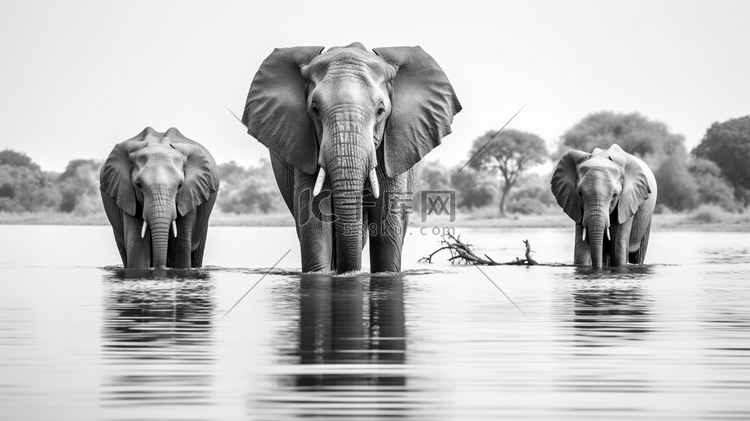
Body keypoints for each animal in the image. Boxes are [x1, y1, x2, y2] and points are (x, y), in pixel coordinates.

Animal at [100, 126, 219, 268]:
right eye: (138, 185)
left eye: (180, 185)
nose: (160, 267)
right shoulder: (126, 195)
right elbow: (137, 247)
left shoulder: (190, 195)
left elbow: (182, 248)